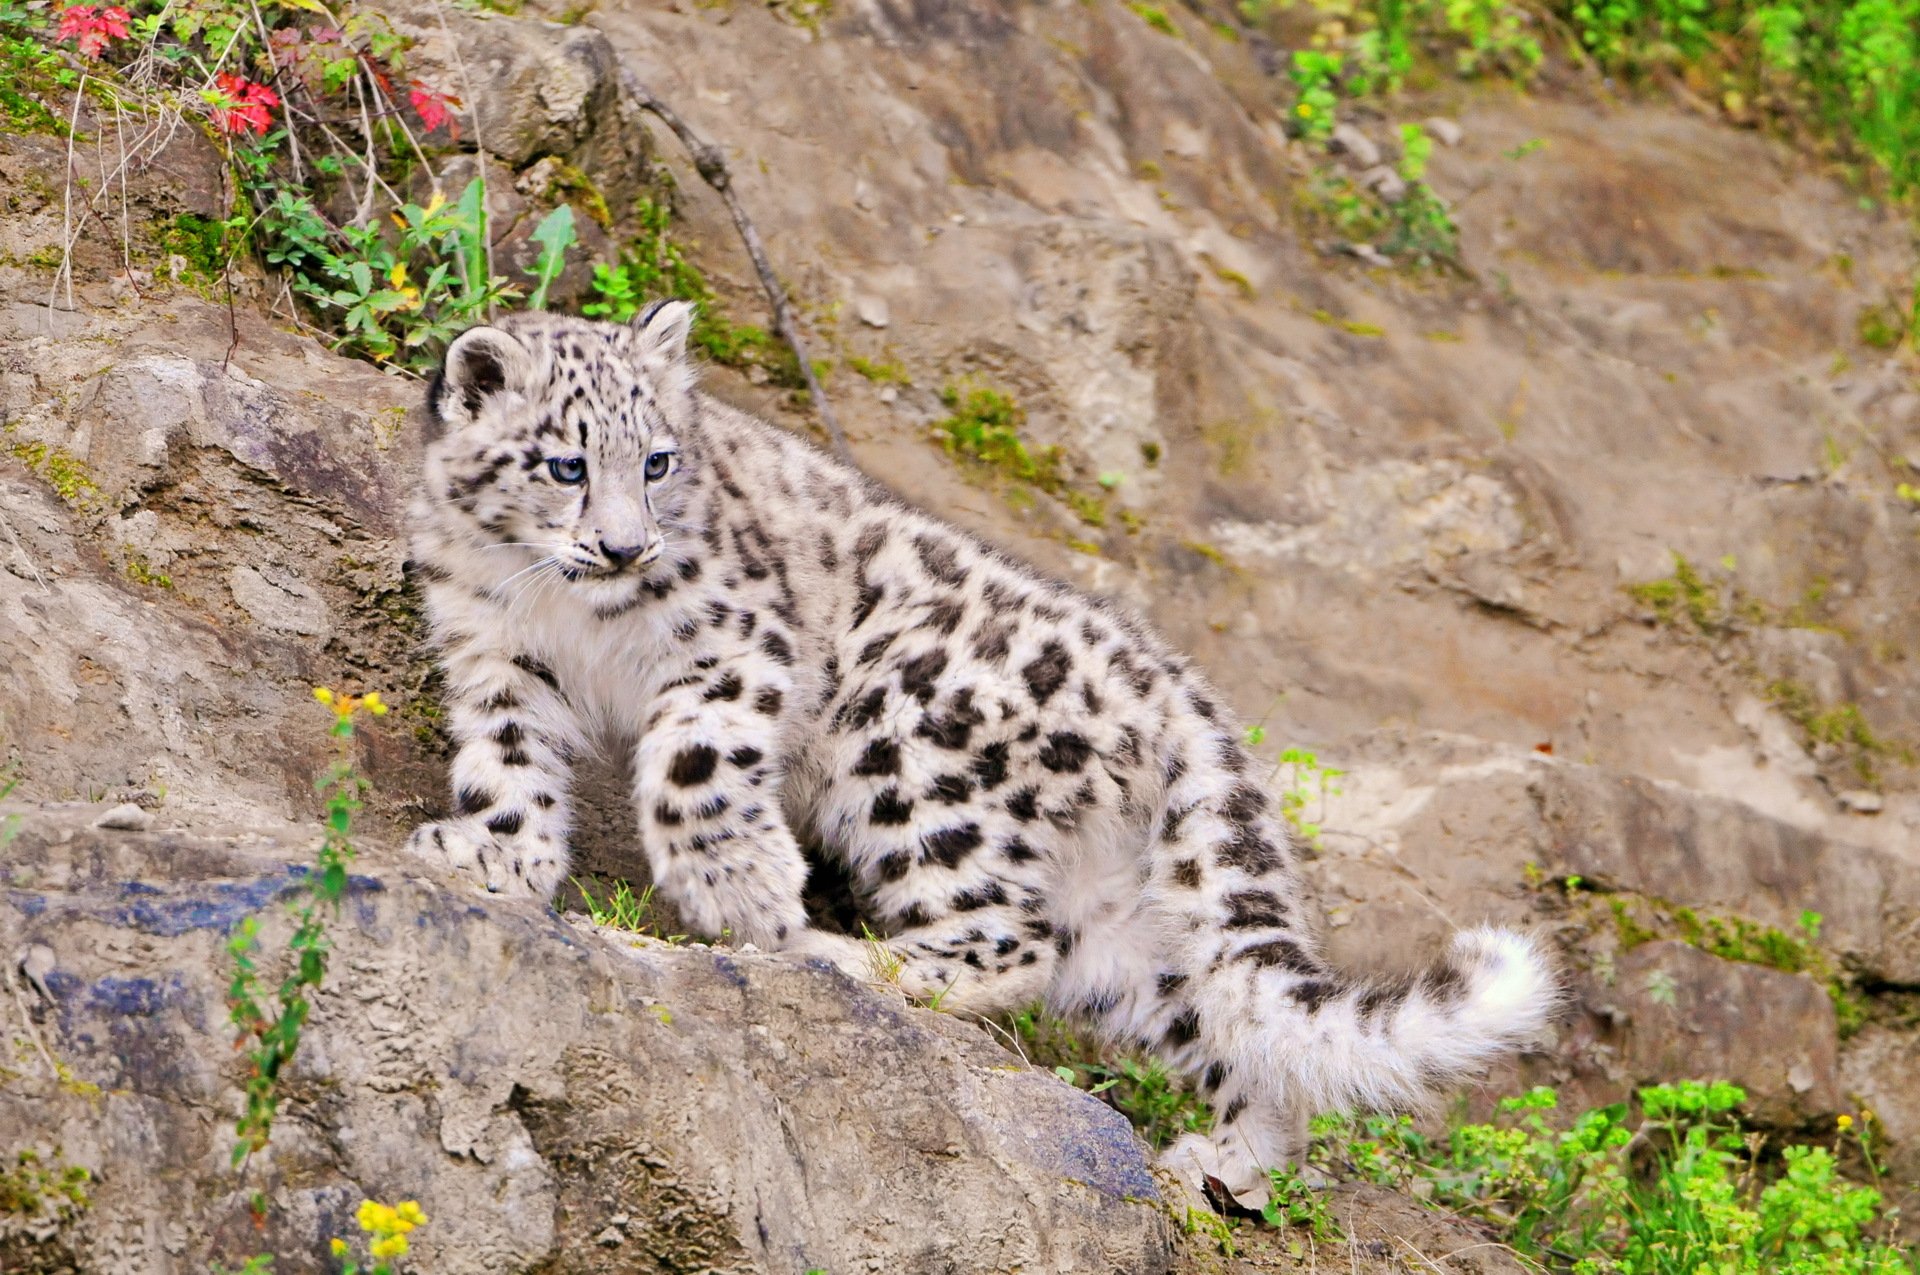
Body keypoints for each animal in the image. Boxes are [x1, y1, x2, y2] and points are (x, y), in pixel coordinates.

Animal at [403, 302, 1558, 1204]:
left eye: (657, 461)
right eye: (565, 465)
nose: (626, 546)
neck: (565, 611)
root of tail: (1176, 684)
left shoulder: (733, 645)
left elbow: (697, 765)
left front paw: (743, 890)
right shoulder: (496, 655)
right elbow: (506, 759)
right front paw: (495, 854)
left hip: (908, 745)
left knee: (1008, 938)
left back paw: (841, 956)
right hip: (1124, 926)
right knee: (1214, 1018)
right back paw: (1225, 1163)